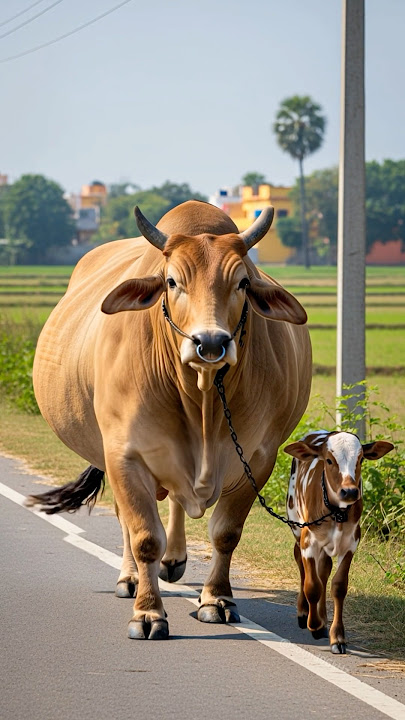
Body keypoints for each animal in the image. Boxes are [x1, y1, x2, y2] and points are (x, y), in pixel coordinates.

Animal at [28, 200, 312, 640]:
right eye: (173, 281)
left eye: (243, 282)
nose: (210, 343)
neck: (203, 400)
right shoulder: (124, 454)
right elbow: (144, 536)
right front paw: (148, 613)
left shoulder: (259, 460)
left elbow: (226, 534)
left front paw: (217, 599)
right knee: (129, 522)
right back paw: (131, 578)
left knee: (178, 501)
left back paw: (174, 561)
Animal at [284, 430, 394, 653]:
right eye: (329, 460)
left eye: (360, 459)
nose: (350, 491)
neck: (337, 512)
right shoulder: (309, 542)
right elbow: (312, 586)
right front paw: (314, 624)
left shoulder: (350, 544)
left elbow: (338, 586)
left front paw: (337, 636)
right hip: (296, 527)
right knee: (301, 565)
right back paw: (304, 612)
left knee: (324, 572)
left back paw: (323, 618)